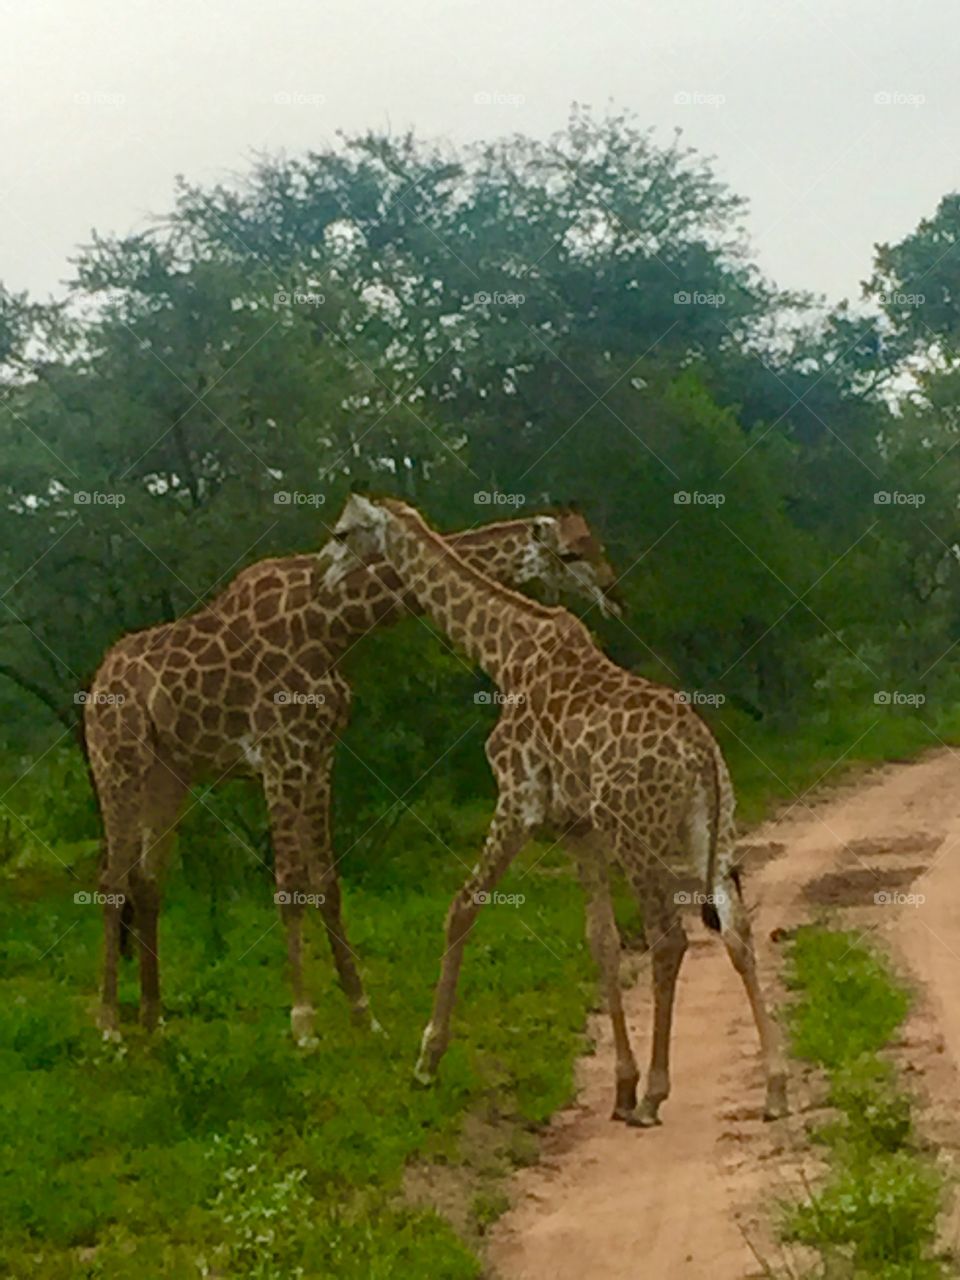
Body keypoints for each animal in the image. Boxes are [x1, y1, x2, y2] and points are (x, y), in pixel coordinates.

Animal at [86, 506, 619, 1039]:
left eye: (595, 542)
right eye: (571, 552)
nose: (612, 592)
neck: (334, 623)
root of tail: (94, 687)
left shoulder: (319, 753)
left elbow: (327, 883)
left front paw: (364, 1015)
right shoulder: (280, 751)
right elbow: (289, 886)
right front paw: (303, 1023)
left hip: (169, 776)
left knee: (147, 882)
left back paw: (153, 1019)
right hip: (117, 760)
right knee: (112, 881)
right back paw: (110, 1024)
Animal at [327, 494, 793, 1126]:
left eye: (343, 533)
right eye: (574, 550)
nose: (326, 574)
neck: (505, 653)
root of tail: (702, 754)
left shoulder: (518, 799)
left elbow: (461, 907)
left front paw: (426, 1060)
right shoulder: (579, 827)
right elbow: (600, 940)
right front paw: (620, 1086)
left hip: (637, 831)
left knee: (669, 939)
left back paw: (657, 1095)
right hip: (711, 828)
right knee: (737, 929)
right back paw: (773, 1089)